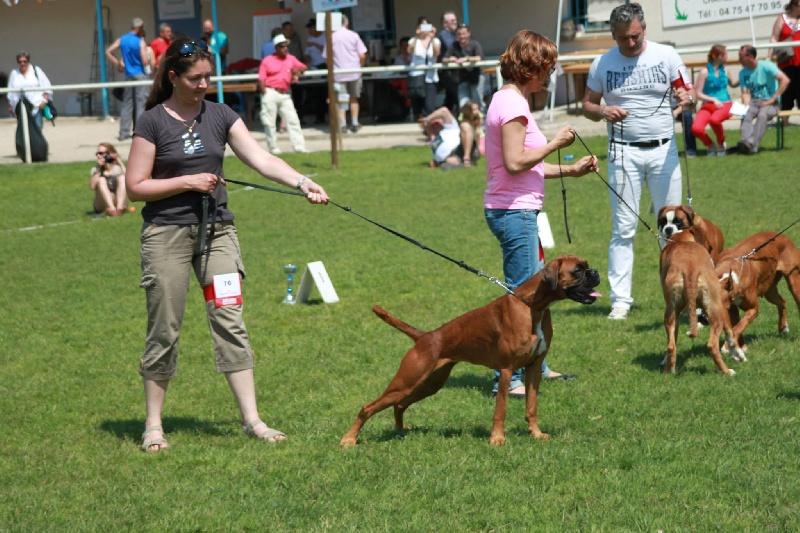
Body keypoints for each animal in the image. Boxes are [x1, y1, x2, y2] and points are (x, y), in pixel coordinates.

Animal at [340, 256, 600, 446]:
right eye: (578, 270)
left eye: (586, 267)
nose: (596, 272)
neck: (531, 306)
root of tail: (426, 336)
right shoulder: (507, 370)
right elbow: (501, 409)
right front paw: (497, 439)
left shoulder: (534, 367)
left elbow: (531, 406)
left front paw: (536, 434)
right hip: (407, 381)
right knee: (368, 407)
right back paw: (349, 439)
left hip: (428, 384)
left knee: (400, 405)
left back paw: (400, 430)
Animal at [660, 230, 740, 374]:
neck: (681, 240)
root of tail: (689, 270)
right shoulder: (722, 306)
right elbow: (730, 334)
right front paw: (738, 354)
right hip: (716, 312)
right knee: (712, 345)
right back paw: (726, 371)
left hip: (671, 313)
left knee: (671, 346)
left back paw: (668, 372)